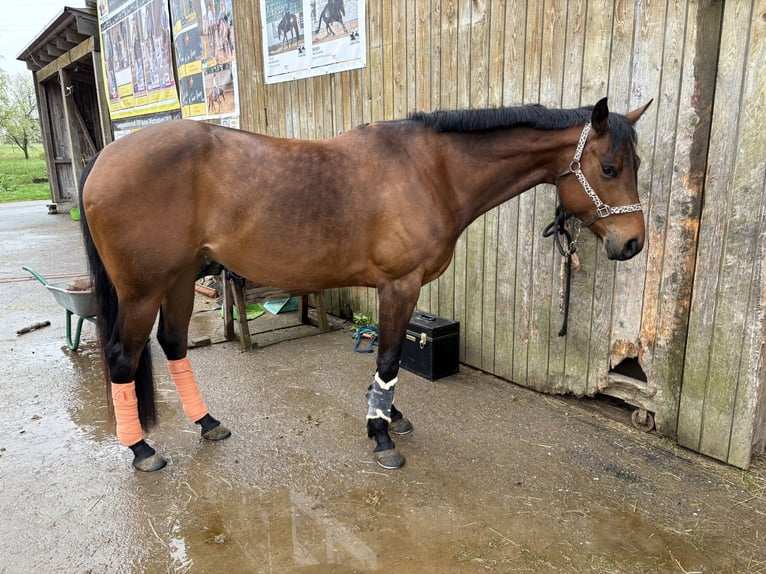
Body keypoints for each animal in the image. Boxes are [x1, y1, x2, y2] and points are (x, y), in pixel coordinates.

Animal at [79, 97, 651, 472]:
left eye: (634, 165)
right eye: (608, 167)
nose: (632, 244)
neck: (431, 170)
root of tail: (104, 158)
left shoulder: (392, 289)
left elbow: (386, 359)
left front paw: (389, 414)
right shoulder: (400, 285)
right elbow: (390, 358)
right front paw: (381, 435)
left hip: (179, 277)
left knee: (174, 344)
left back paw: (206, 422)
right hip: (142, 290)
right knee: (123, 358)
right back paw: (141, 449)